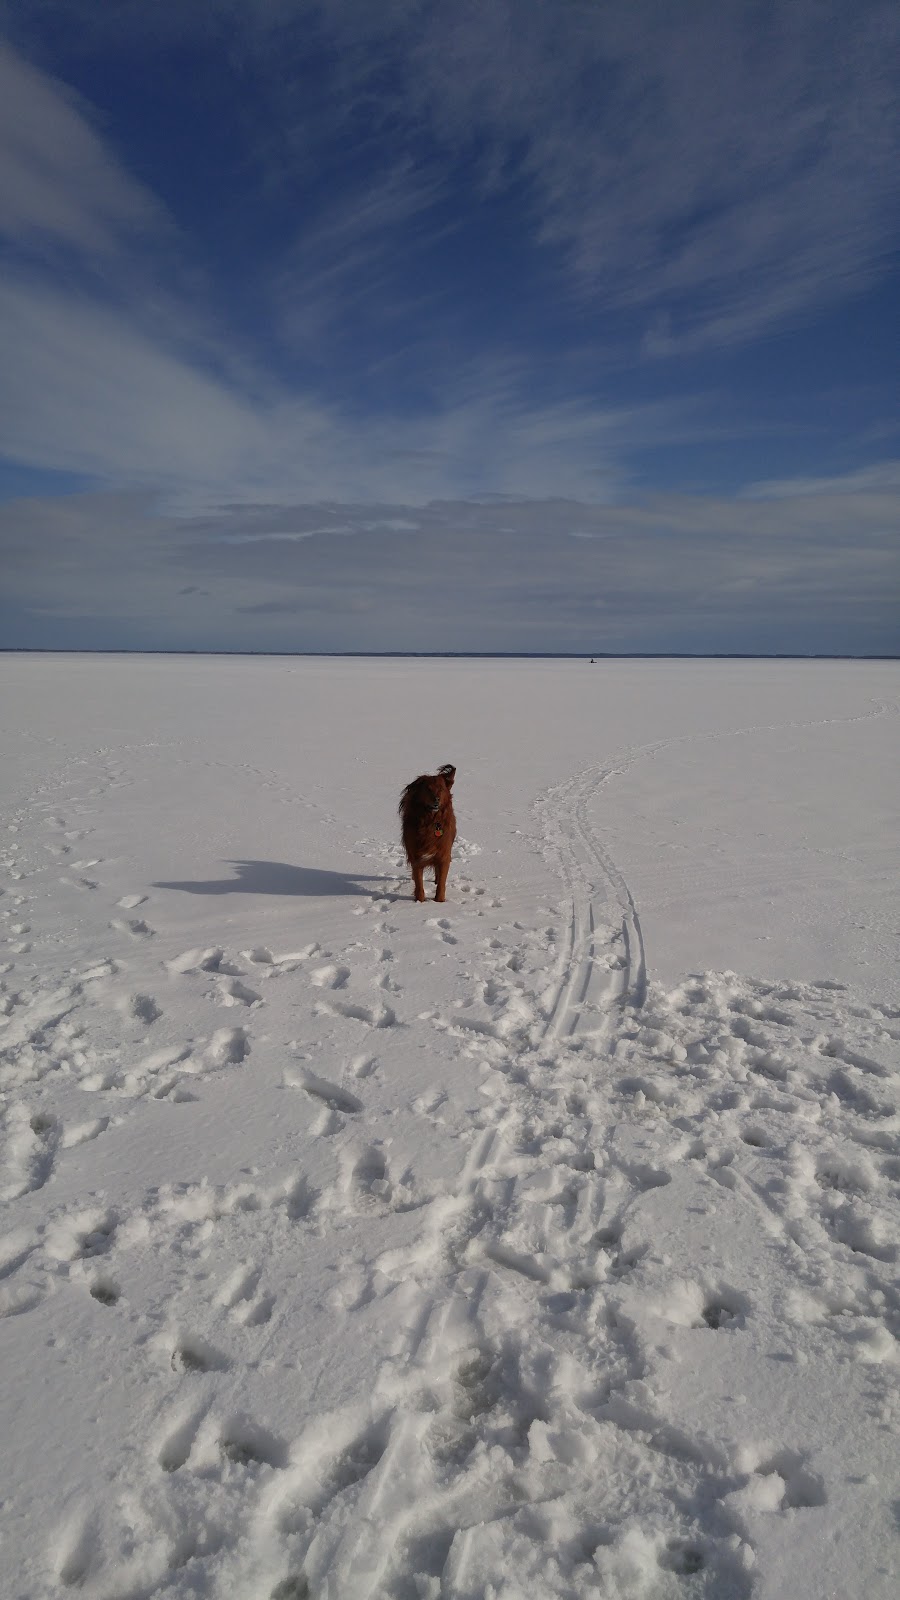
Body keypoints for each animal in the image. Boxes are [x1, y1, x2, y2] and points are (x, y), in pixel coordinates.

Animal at [398, 761, 454, 902]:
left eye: (441, 788)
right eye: (428, 789)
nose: (436, 799)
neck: (430, 822)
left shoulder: (444, 855)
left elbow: (442, 882)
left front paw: (439, 901)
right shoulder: (416, 856)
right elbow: (419, 883)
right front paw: (420, 902)